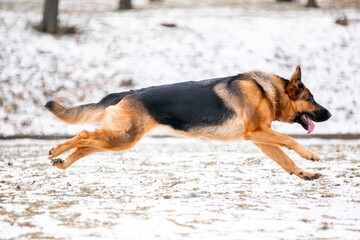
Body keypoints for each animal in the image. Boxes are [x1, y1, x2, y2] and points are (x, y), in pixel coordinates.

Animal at [45, 65, 332, 180]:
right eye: (311, 99)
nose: (329, 115)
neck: (266, 91)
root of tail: (128, 93)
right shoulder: (255, 132)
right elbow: (289, 140)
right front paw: (310, 154)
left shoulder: (260, 138)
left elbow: (285, 161)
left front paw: (305, 174)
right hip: (122, 138)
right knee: (83, 134)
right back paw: (56, 150)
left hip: (117, 140)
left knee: (85, 146)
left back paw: (62, 162)